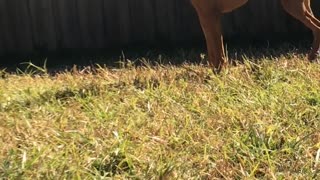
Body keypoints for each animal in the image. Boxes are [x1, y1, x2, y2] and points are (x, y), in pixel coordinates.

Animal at [191, 0, 320, 72]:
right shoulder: (210, 17)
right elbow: (214, 50)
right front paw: (216, 71)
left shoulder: (208, 16)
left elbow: (216, 51)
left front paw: (217, 73)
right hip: (302, 7)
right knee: (317, 28)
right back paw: (312, 57)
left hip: (294, 7)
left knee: (317, 29)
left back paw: (311, 57)